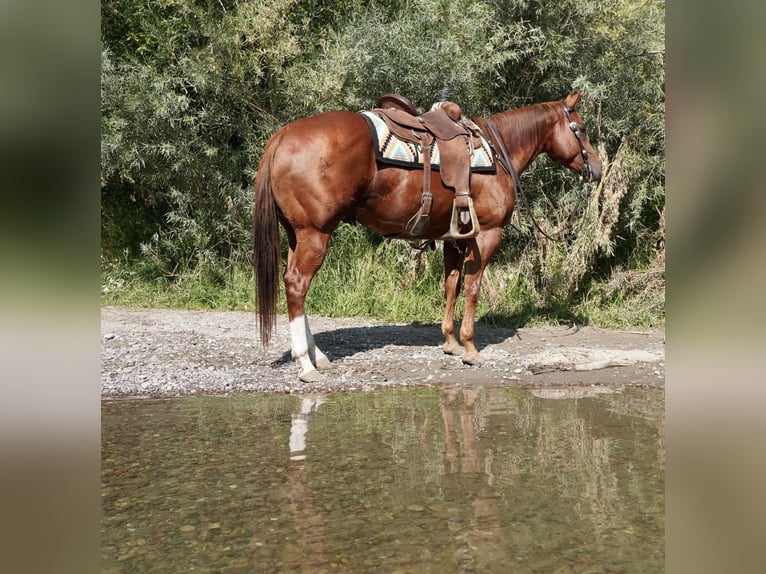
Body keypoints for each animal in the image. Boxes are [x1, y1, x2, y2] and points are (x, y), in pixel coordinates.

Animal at [255, 91, 604, 382]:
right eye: (583, 128)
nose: (598, 168)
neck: (499, 151)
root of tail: (281, 137)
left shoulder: (454, 238)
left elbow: (452, 285)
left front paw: (450, 341)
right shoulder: (487, 235)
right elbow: (473, 287)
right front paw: (470, 348)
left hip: (296, 235)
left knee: (293, 284)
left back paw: (319, 356)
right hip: (315, 235)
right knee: (296, 285)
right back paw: (306, 364)